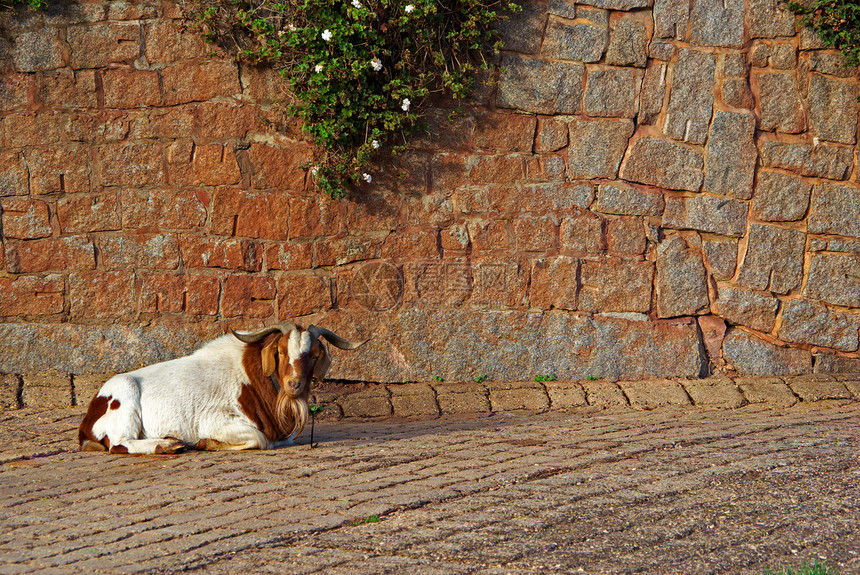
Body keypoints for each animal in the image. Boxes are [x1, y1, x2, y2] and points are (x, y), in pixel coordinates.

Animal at [76, 324, 366, 454]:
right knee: (119, 444)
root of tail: (88, 418)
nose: (294, 385)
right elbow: (259, 440)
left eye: (314, 355)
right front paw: (205, 443)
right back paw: (167, 445)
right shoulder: (215, 421)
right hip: (123, 395)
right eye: (281, 351)